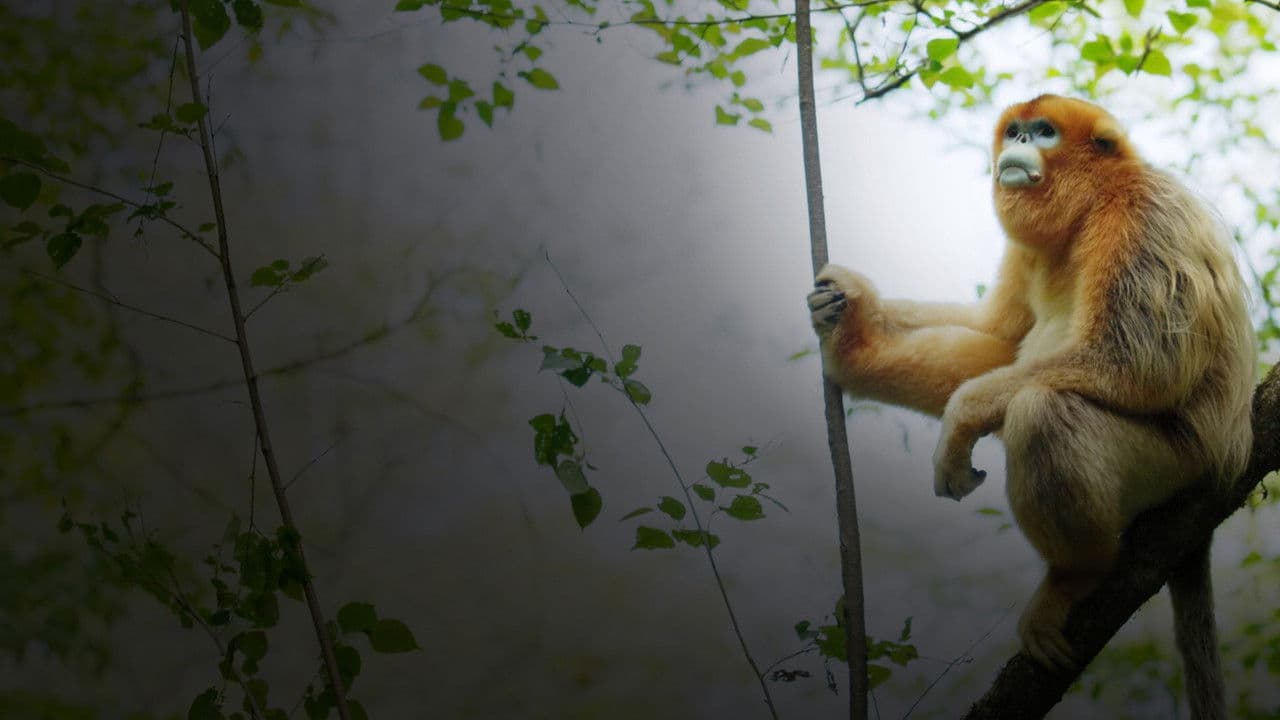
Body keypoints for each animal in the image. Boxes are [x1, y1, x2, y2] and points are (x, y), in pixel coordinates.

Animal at [807, 95, 1254, 719]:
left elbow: (1144, 364)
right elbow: (997, 339)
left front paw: (961, 419)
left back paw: (1074, 576)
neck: (1091, 207)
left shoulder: (1143, 214)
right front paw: (851, 328)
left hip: (1183, 464)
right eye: (1016, 131)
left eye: (1043, 133)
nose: (1018, 144)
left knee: (1045, 411)